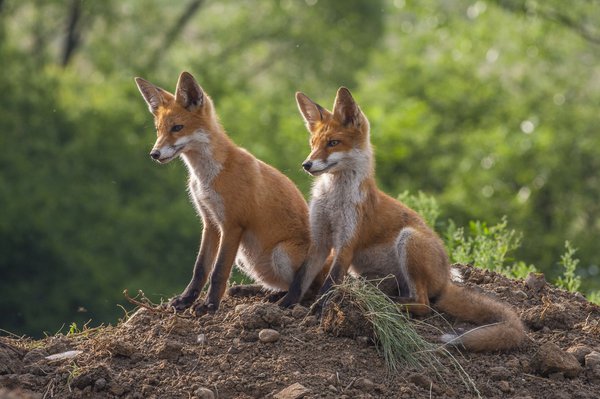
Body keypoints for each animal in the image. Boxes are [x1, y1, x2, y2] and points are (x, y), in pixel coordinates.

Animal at [134, 72, 326, 316]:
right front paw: (185, 300)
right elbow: (200, 269)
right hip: (246, 258)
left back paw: (280, 299)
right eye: (158, 130)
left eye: (177, 128)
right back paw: (253, 291)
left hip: (280, 253)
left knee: (306, 288)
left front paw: (209, 305)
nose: (154, 154)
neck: (207, 177)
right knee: (280, 285)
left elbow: (218, 272)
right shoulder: (210, 223)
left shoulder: (233, 225)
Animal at [292, 86, 528, 350]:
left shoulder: (346, 243)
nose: (306, 164)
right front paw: (284, 306)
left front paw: (317, 311)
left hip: (409, 240)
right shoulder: (320, 240)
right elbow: (299, 281)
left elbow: (327, 287)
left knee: (424, 304)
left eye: (333, 143)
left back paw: (388, 303)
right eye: (313, 144)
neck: (333, 199)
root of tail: (445, 279)